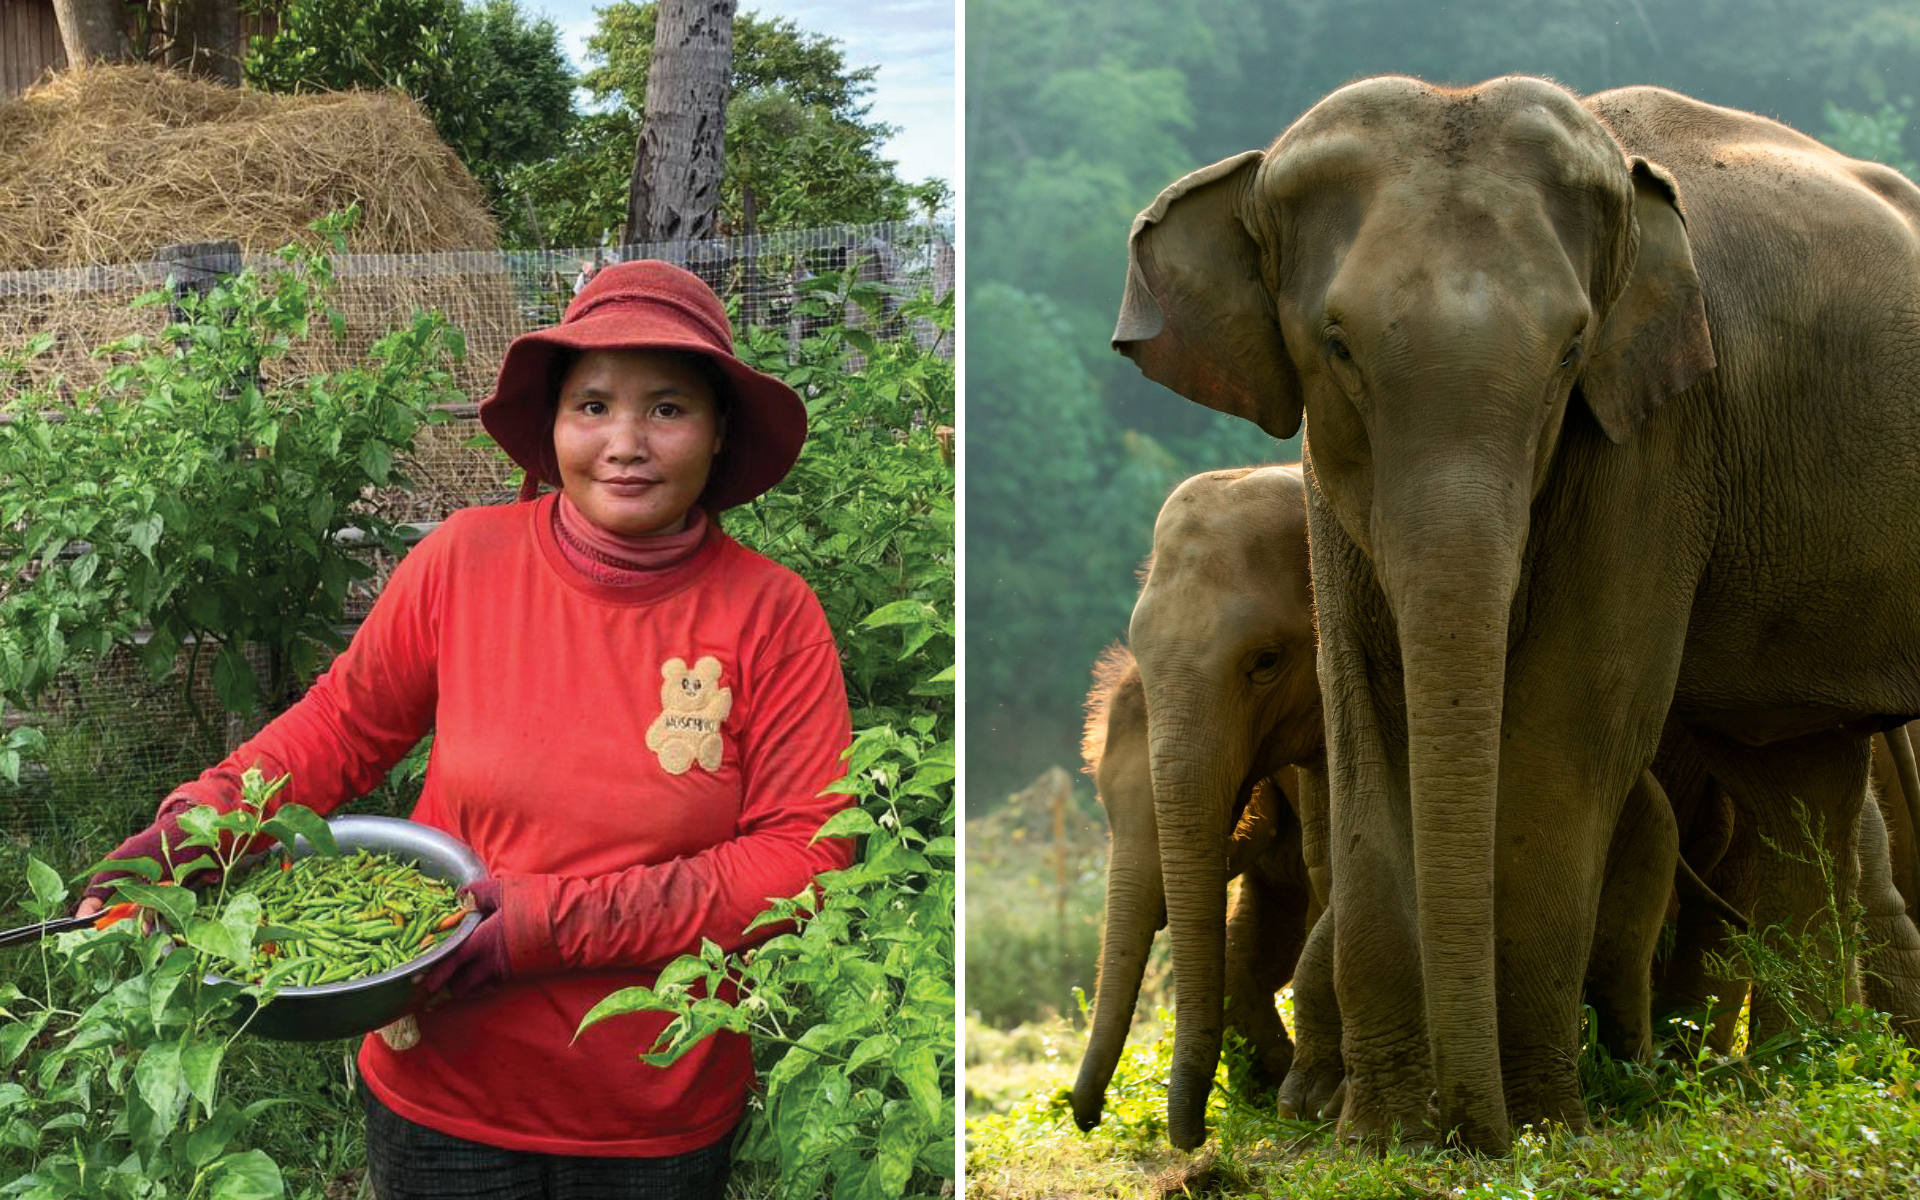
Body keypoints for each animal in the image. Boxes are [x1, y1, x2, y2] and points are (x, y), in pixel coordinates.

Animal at [1113, 76, 1920, 1151]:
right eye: (1336, 345)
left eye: (1572, 348)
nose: (1189, 1140)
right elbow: (1371, 719)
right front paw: (1384, 1135)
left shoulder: (1653, 443)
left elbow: (1567, 728)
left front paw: (1535, 1124)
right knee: (1801, 771)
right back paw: (1803, 1078)